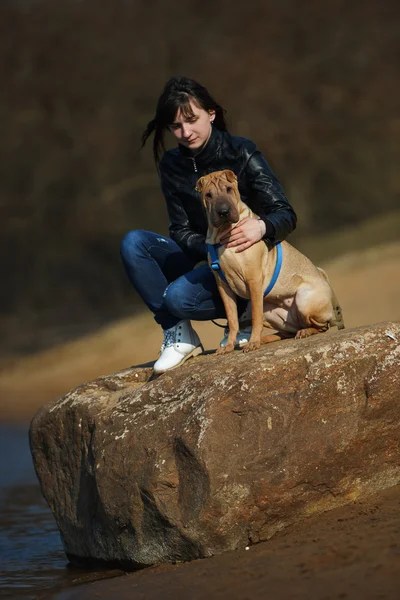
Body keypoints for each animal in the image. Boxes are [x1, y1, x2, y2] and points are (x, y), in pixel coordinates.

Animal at [197, 169, 344, 354]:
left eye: (228, 189)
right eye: (208, 195)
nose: (223, 211)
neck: (224, 234)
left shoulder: (253, 278)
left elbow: (255, 317)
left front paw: (253, 343)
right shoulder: (223, 286)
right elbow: (232, 320)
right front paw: (229, 346)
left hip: (303, 300)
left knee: (322, 326)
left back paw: (302, 332)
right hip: (270, 310)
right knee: (287, 332)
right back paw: (268, 338)